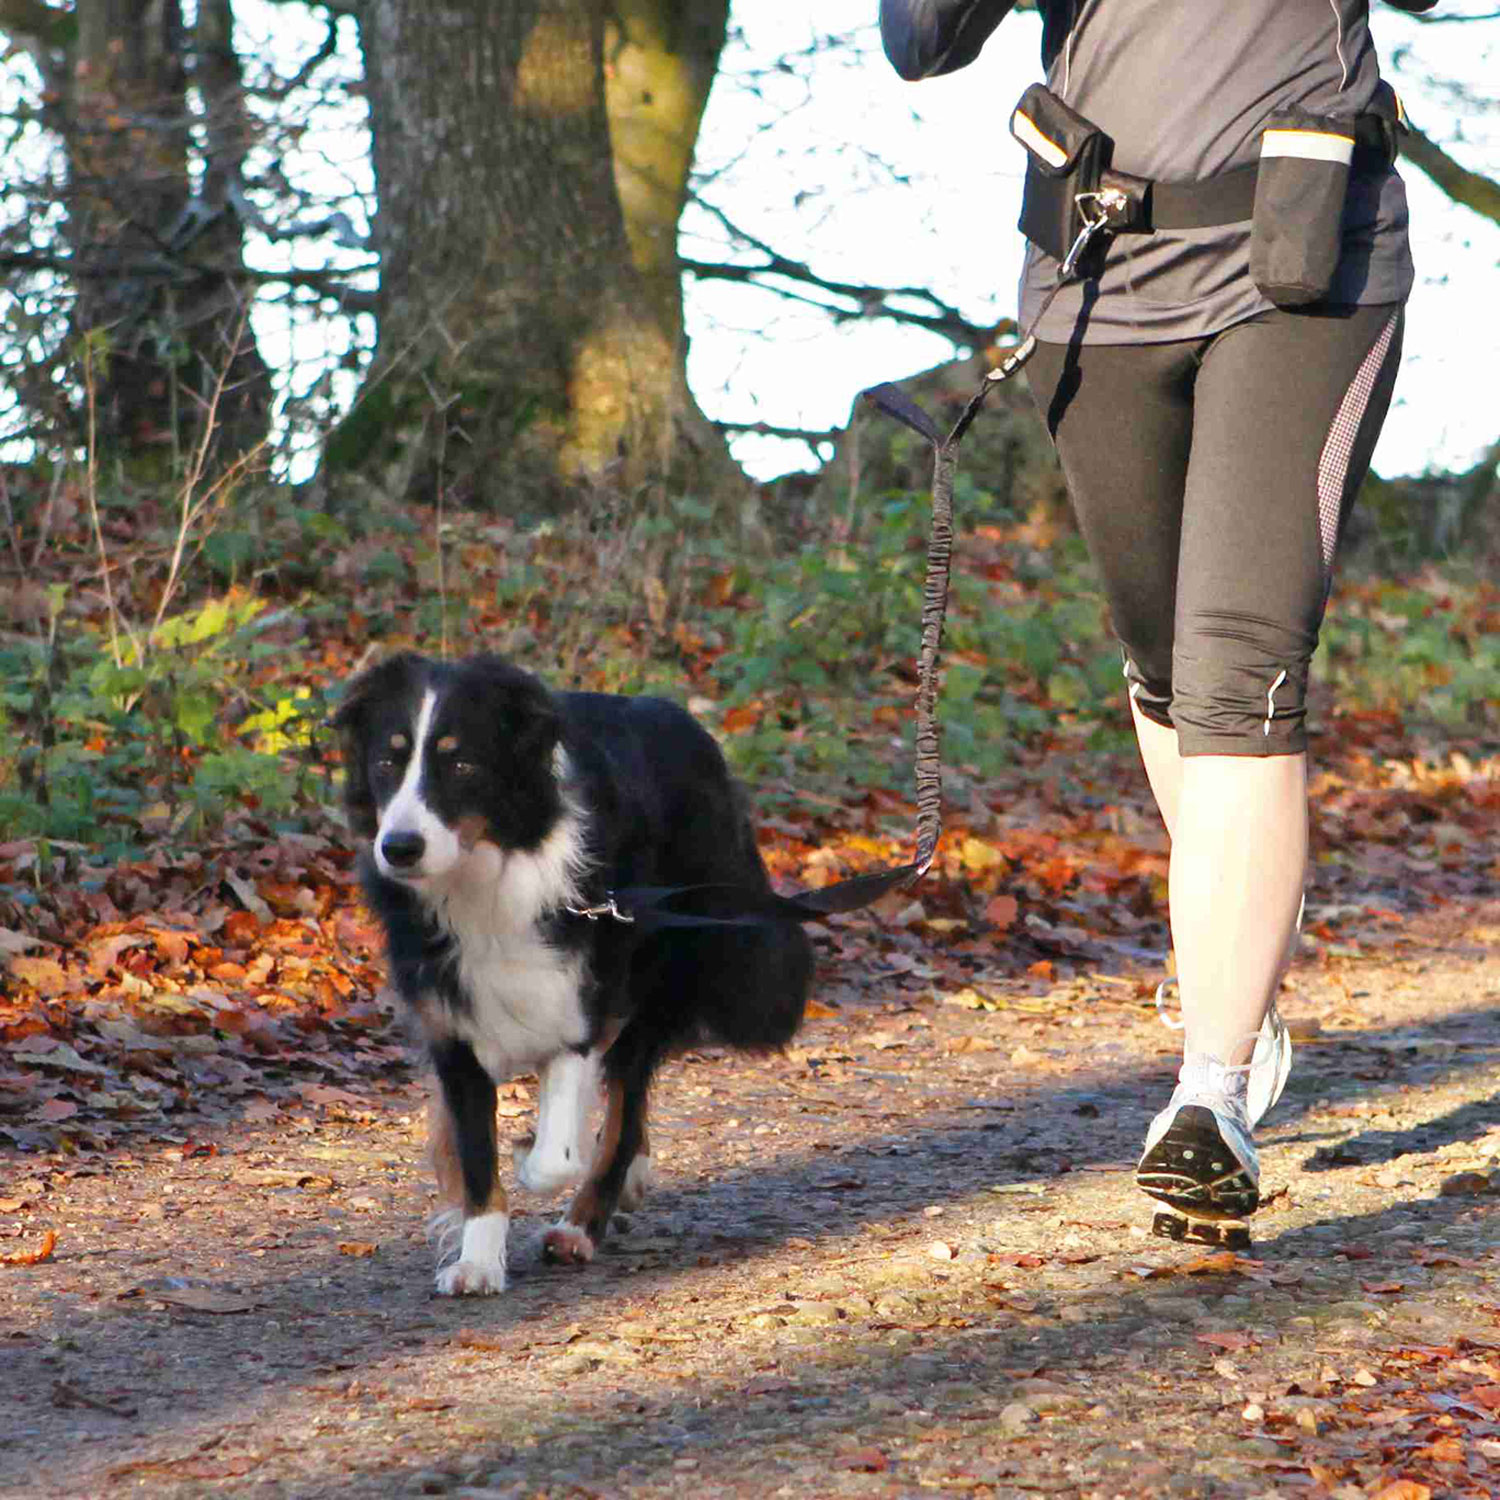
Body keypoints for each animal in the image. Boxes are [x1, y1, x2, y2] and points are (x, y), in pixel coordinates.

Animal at [336, 651, 816, 1296]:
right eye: (387, 761)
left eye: (461, 763)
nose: (399, 847)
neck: (485, 878)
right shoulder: (450, 1024)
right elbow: (475, 1153)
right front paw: (478, 1259)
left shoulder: (584, 1005)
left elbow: (555, 1155)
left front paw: (532, 1160)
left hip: (664, 975)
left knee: (624, 1108)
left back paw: (582, 1224)